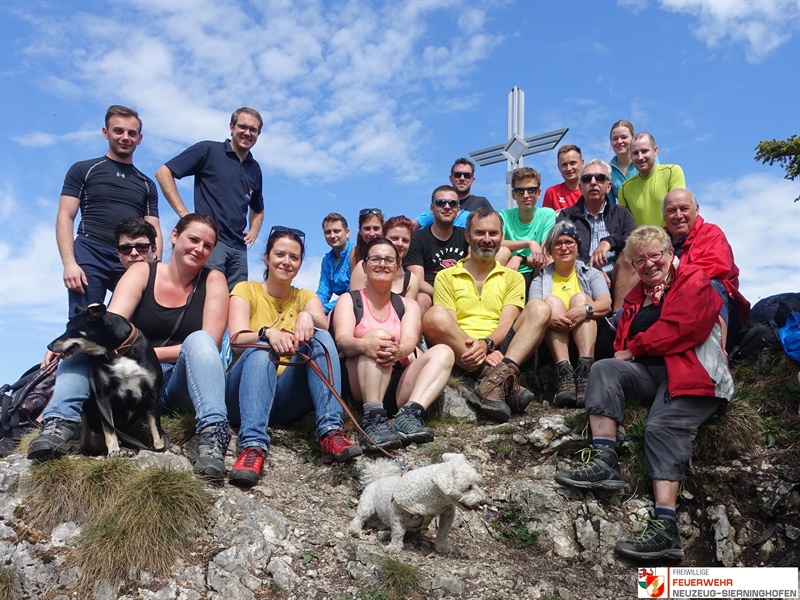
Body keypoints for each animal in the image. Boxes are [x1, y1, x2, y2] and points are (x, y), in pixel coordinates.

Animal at [48, 304, 167, 454]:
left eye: (71, 330)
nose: (49, 346)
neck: (119, 352)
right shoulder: (103, 395)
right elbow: (109, 428)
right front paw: (114, 451)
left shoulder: (151, 394)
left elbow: (156, 430)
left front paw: (160, 449)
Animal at [346, 450, 484, 552]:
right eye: (468, 487)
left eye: (478, 483)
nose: (482, 501)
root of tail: (377, 478)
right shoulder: (397, 512)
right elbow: (398, 532)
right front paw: (394, 547)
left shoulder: (448, 512)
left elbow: (443, 531)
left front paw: (442, 546)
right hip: (367, 505)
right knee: (359, 518)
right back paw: (355, 530)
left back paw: (384, 533)